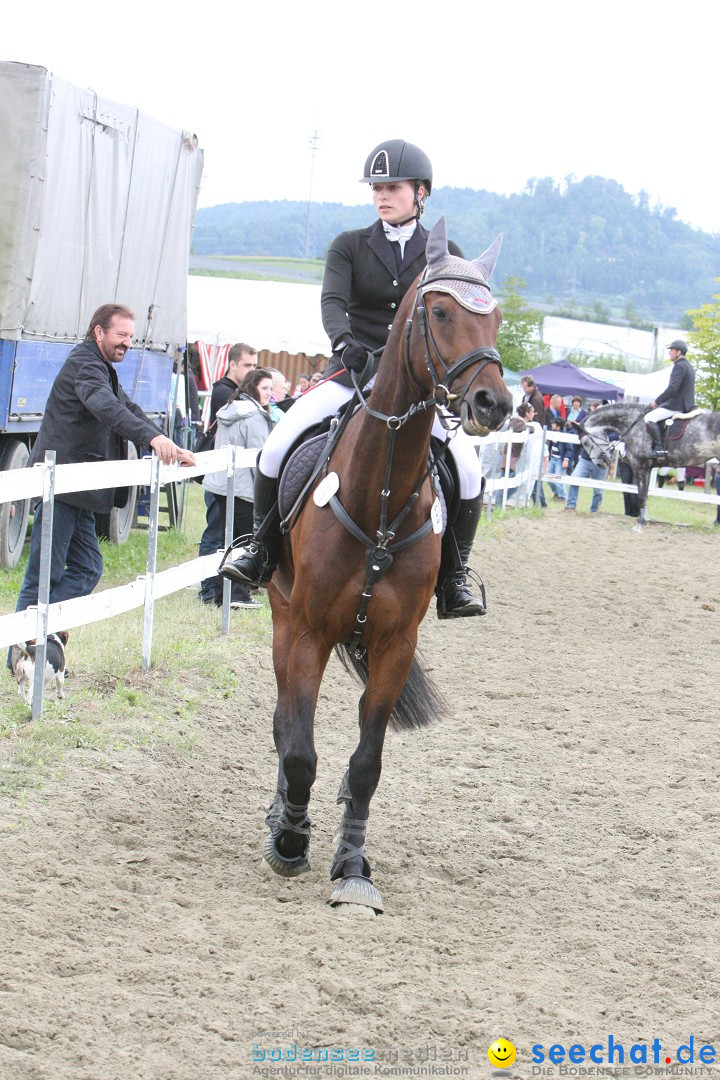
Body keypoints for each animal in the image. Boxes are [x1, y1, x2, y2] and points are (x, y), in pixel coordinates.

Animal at [262, 217, 509, 911]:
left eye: (495, 318)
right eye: (441, 311)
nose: (494, 404)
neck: (380, 492)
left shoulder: (396, 643)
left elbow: (367, 764)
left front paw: (352, 865)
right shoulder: (310, 632)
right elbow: (300, 751)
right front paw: (291, 840)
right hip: (283, 617)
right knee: (284, 723)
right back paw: (281, 815)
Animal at [582, 401, 716, 527]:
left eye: (585, 443)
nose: (599, 464)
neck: (633, 423)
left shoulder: (639, 466)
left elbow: (641, 496)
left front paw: (640, 523)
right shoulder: (647, 468)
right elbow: (645, 495)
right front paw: (644, 519)